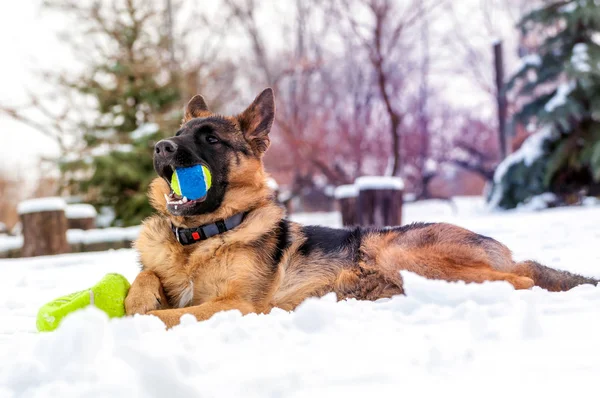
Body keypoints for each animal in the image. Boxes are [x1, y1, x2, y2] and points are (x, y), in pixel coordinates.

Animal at [124, 88, 596, 328]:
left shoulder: (237, 304)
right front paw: (135, 301)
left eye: (211, 139)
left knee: (519, 280)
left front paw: (131, 323)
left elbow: (176, 313)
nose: (161, 146)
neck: (201, 236)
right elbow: (146, 277)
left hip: (405, 254)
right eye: (178, 134)